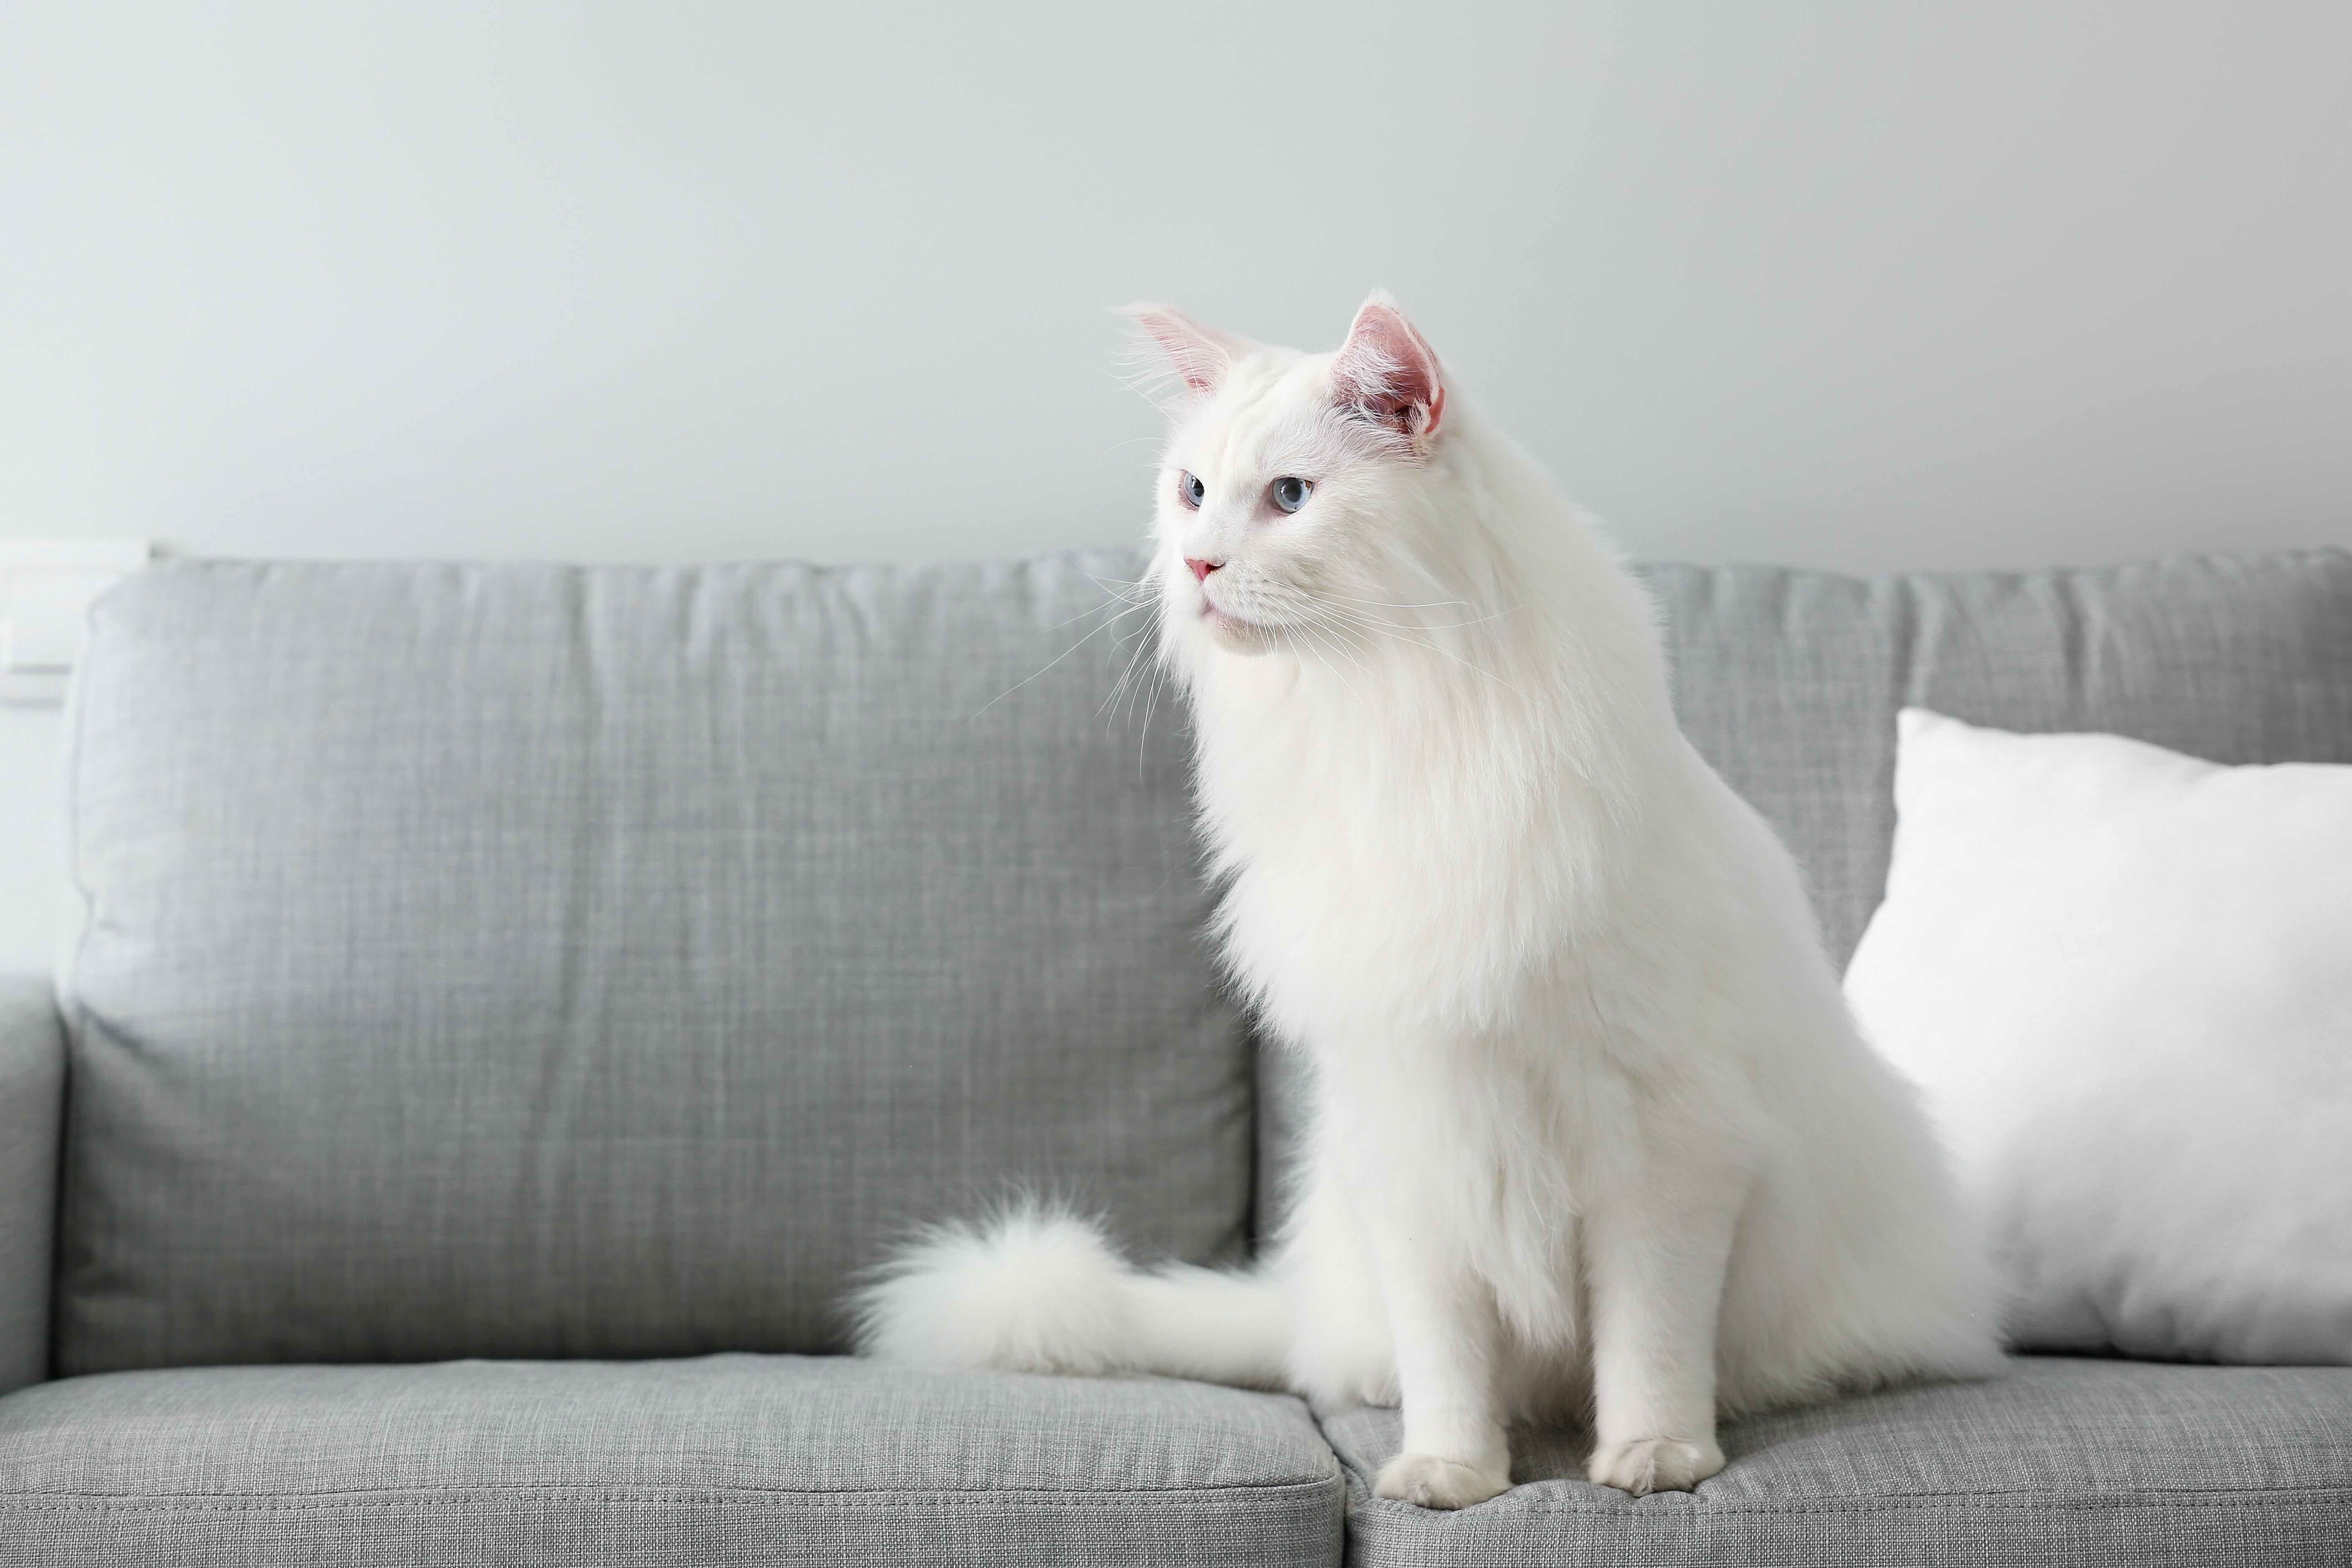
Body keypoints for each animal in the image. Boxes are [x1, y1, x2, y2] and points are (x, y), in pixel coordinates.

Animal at [856, 294, 1994, 1504]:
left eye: (1290, 497)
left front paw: (1655, 1457)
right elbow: (1447, 1352)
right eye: (1193, 491)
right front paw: (1450, 1469)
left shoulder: (1663, 1146)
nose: (1198, 562)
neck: (1386, 725)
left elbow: (1648, 1337)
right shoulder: (1413, 1132)